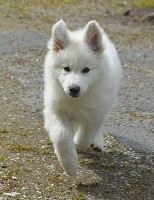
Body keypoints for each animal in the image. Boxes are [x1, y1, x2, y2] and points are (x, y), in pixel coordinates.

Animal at [43, 19, 121, 176]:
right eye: (66, 68)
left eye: (86, 70)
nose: (73, 89)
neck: (77, 100)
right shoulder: (56, 110)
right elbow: (61, 136)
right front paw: (70, 166)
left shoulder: (96, 113)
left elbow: (85, 137)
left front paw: (78, 144)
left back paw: (97, 143)